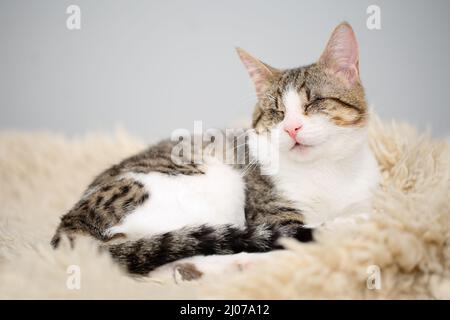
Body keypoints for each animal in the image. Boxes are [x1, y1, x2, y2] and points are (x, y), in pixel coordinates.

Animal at [50, 23, 380, 278]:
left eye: (313, 103)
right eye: (277, 112)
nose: (291, 128)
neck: (327, 170)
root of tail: (69, 224)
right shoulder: (274, 216)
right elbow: (297, 240)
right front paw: (343, 228)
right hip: (211, 186)